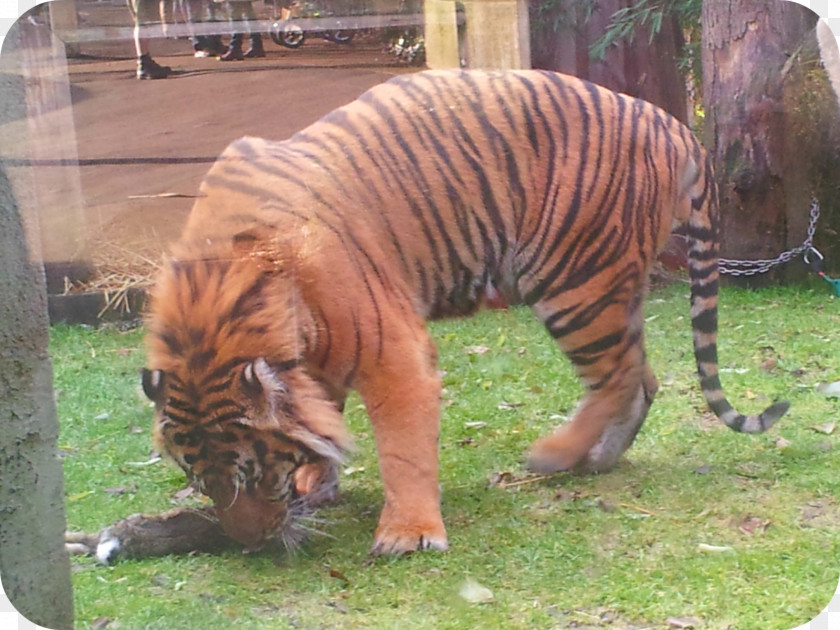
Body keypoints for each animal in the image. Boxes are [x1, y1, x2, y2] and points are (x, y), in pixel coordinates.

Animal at [139, 66, 788, 556]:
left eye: (251, 473)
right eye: (197, 479)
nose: (250, 545)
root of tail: (674, 124)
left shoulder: (393, 352)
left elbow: (402, 447)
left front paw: (408, 534)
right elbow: (324, 416)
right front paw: (317, 478)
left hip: (574, 282)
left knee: (618, 377)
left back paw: (555, 455)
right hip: (608, 288)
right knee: (641, 375)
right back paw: (597, 459)